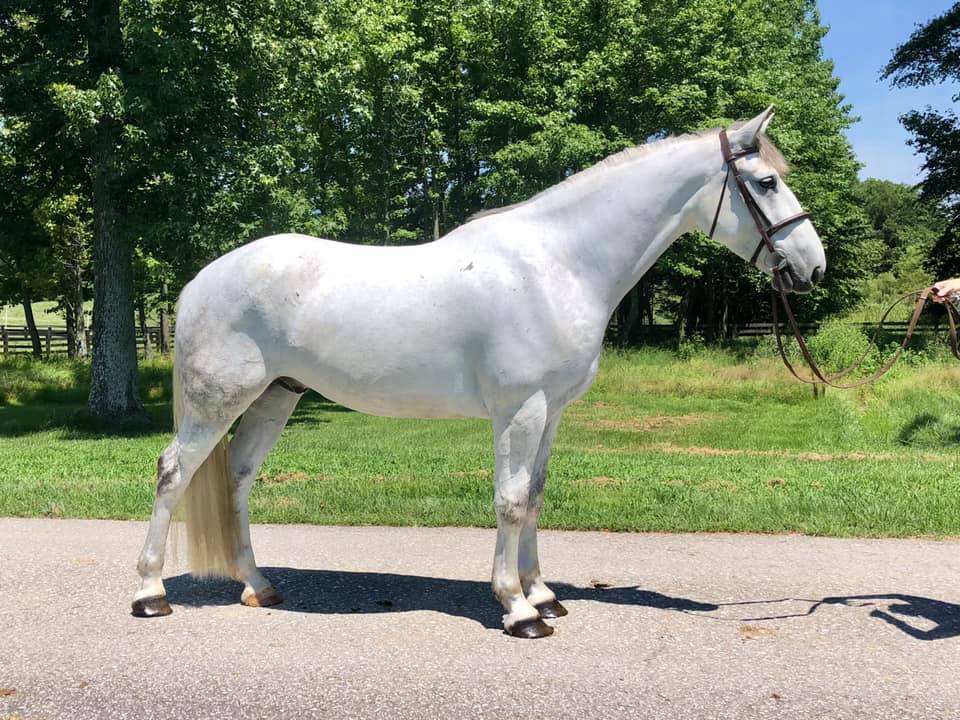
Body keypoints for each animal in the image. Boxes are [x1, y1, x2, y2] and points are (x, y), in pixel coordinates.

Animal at [132, 107, 826, 638]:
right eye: (766, 181)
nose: (811, 267)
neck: (556, 265)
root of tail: (202, 280)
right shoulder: (521, 409)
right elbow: (510, 501)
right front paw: (518, 610)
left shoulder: (553, 411)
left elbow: (536, 496)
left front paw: (543, 594)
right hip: (218, 402)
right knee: (173, 473)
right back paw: (150, 594)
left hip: (275, 397)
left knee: (238, 478)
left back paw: (257, 585)